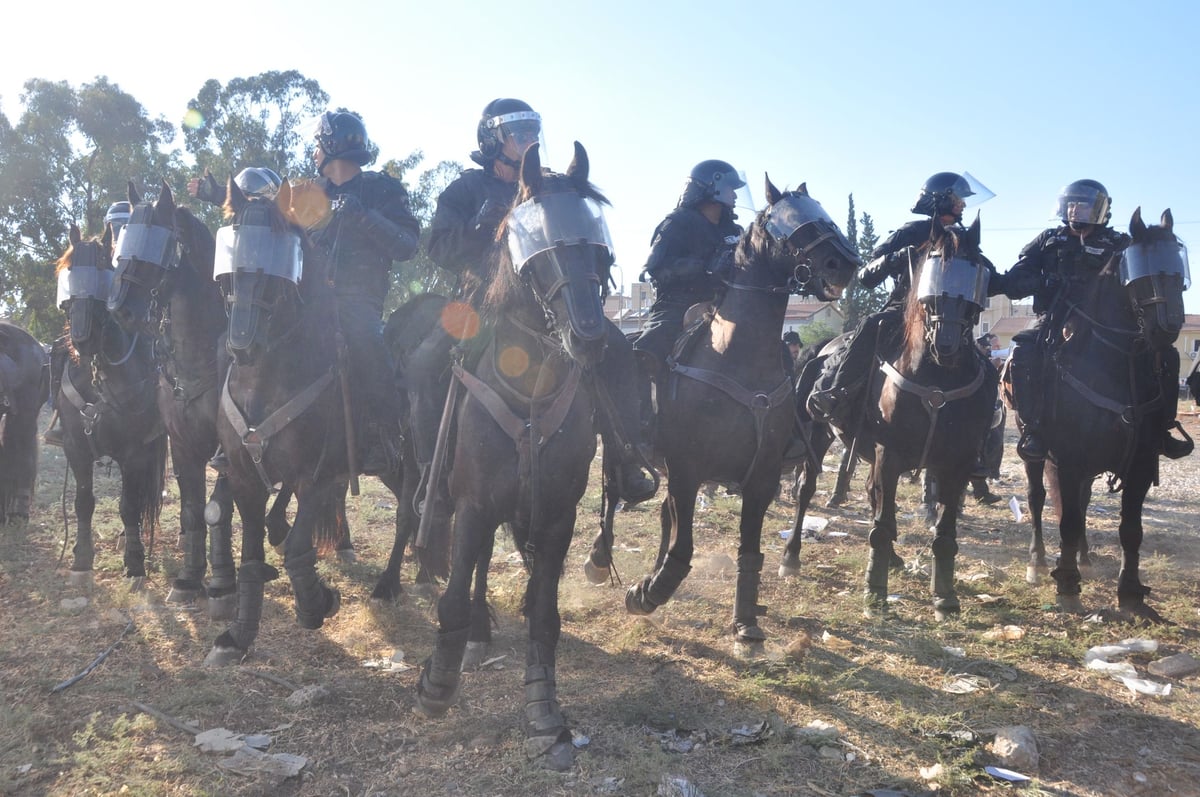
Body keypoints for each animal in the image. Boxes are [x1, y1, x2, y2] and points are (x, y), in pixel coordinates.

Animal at [54, 224, 168, 585]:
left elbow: (130, 505)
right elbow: (83, 502)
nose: (82, 338)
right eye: (70, 271)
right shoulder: (75, 448)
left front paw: (135, 561)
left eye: (105, 268)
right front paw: (81, 559)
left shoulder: (135, 453)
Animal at [415, 143, 619, 772]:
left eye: (595, 240)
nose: (591, 337)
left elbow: (546, 616)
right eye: (541, 243)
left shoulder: (556, 515)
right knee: (475, 568)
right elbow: (454, 597)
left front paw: (544, 711)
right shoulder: (474, 504)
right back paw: (478, 633)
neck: (529, 392)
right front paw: (438, 685)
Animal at [787, 219, 993, 624]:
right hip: (819, 436)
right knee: (806, 489)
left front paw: (944, 596)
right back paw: (792, 556)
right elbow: (881, 527)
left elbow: (944, 532)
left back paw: (896, 560)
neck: (938, 380)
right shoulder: (890, 453)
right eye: (932, 266)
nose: (945, 343)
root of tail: (820, 350)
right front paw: (875, 593)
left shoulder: (957, 463)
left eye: (975, 271)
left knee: (871, 492)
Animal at [1012, 208, 1190, 619]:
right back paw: (1039, 562)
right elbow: (1067, 521)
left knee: (1079, 503)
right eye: (1137, 266)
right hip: (1037, 456)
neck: (1113, 364)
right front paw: (1066, 584)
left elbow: (1130, 529)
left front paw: (1131, 593)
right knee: (1039, 499)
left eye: (1178, 266)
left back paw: (1084, 558)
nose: (1168, 326)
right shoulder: (1069, 457)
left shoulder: (1140, 464)